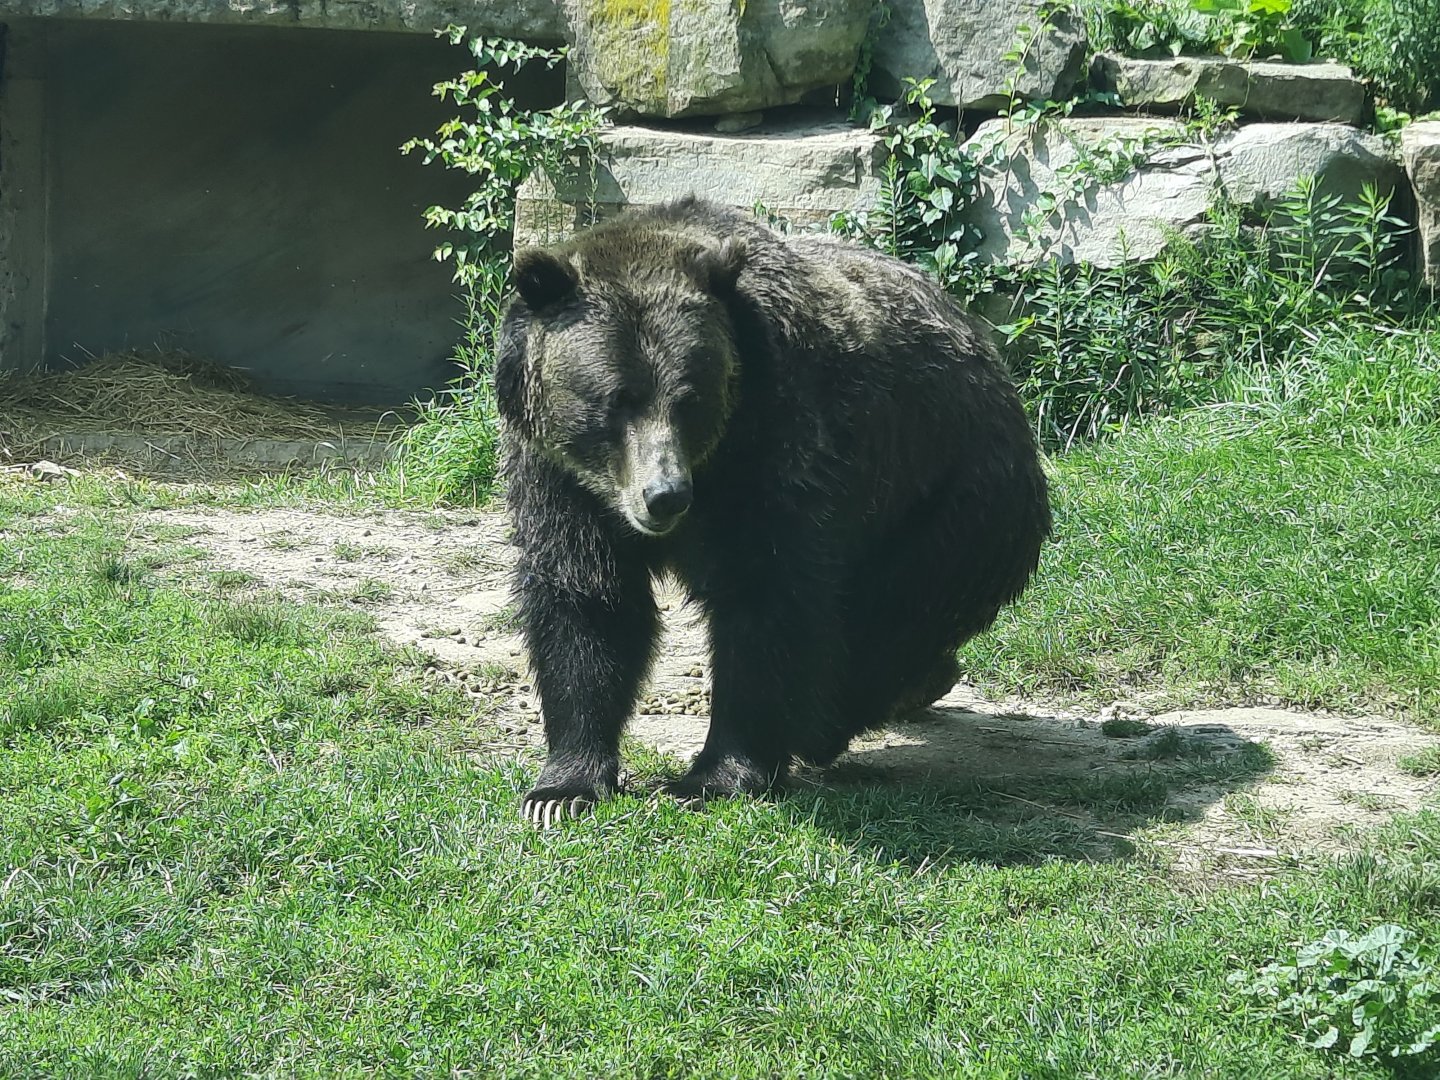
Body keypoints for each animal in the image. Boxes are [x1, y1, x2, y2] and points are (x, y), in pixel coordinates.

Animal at [495, 197, 1051, 826]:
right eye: (617, 399)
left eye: (689, 399)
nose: (665, 495)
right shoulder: (563, 479)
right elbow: (586, 599)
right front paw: (563, 787)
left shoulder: (779, 447)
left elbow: (765, 599)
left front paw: (715, 775)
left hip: (947, 500)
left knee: (890, 617)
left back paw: (854, 713)